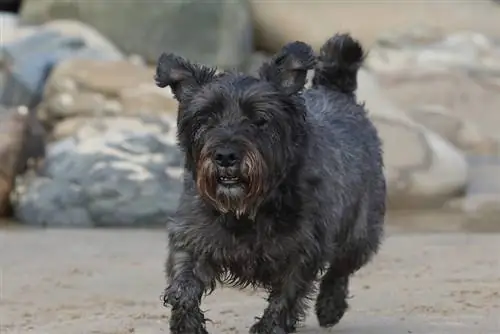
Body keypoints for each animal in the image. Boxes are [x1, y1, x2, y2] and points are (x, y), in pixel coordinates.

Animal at [155, 32, 386, 334]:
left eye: (259, 120)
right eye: (205, 118)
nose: (225, 156)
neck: (248, 209)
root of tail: (336, 91)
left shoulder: (302, 253)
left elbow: (286, 298)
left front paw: (269, 327)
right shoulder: (193, 238)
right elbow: (182, 288)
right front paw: (187, 324)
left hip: (359, 234)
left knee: (340, 269)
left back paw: (330, 307)